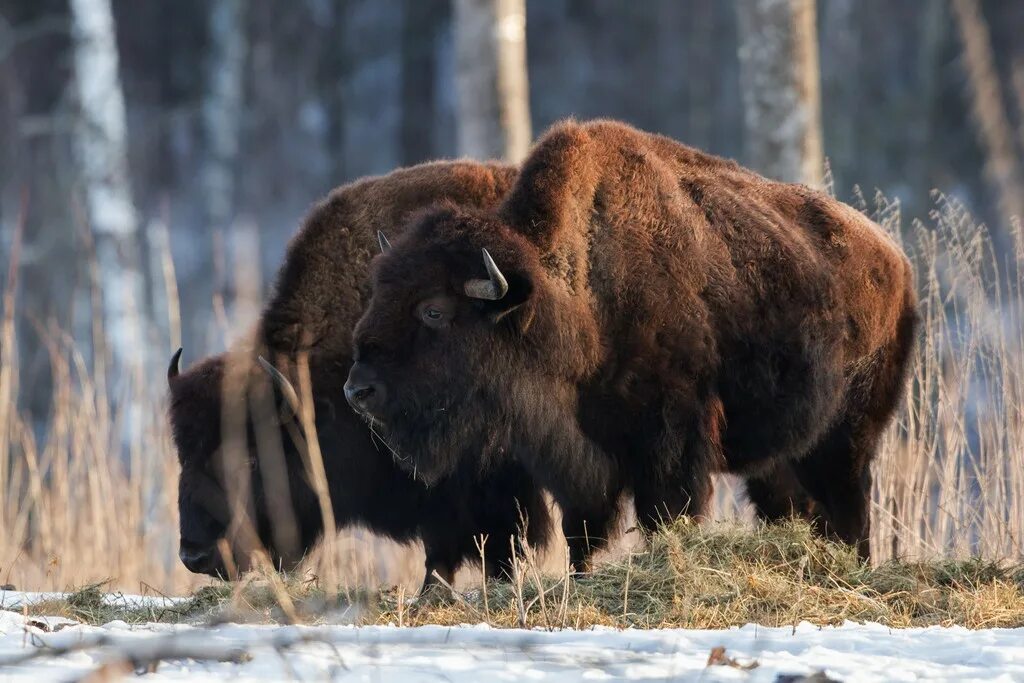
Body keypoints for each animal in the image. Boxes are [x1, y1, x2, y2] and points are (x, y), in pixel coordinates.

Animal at [348, 118, 917, 565]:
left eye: (434, 310)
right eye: (378, 293)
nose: (359, 390)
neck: (573, 294)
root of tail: (897, 262)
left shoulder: (670, 440)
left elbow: (666, 513)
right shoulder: (576, 460)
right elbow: (581, 535)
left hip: (846, 439)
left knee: (850, 509)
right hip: (781, 458)